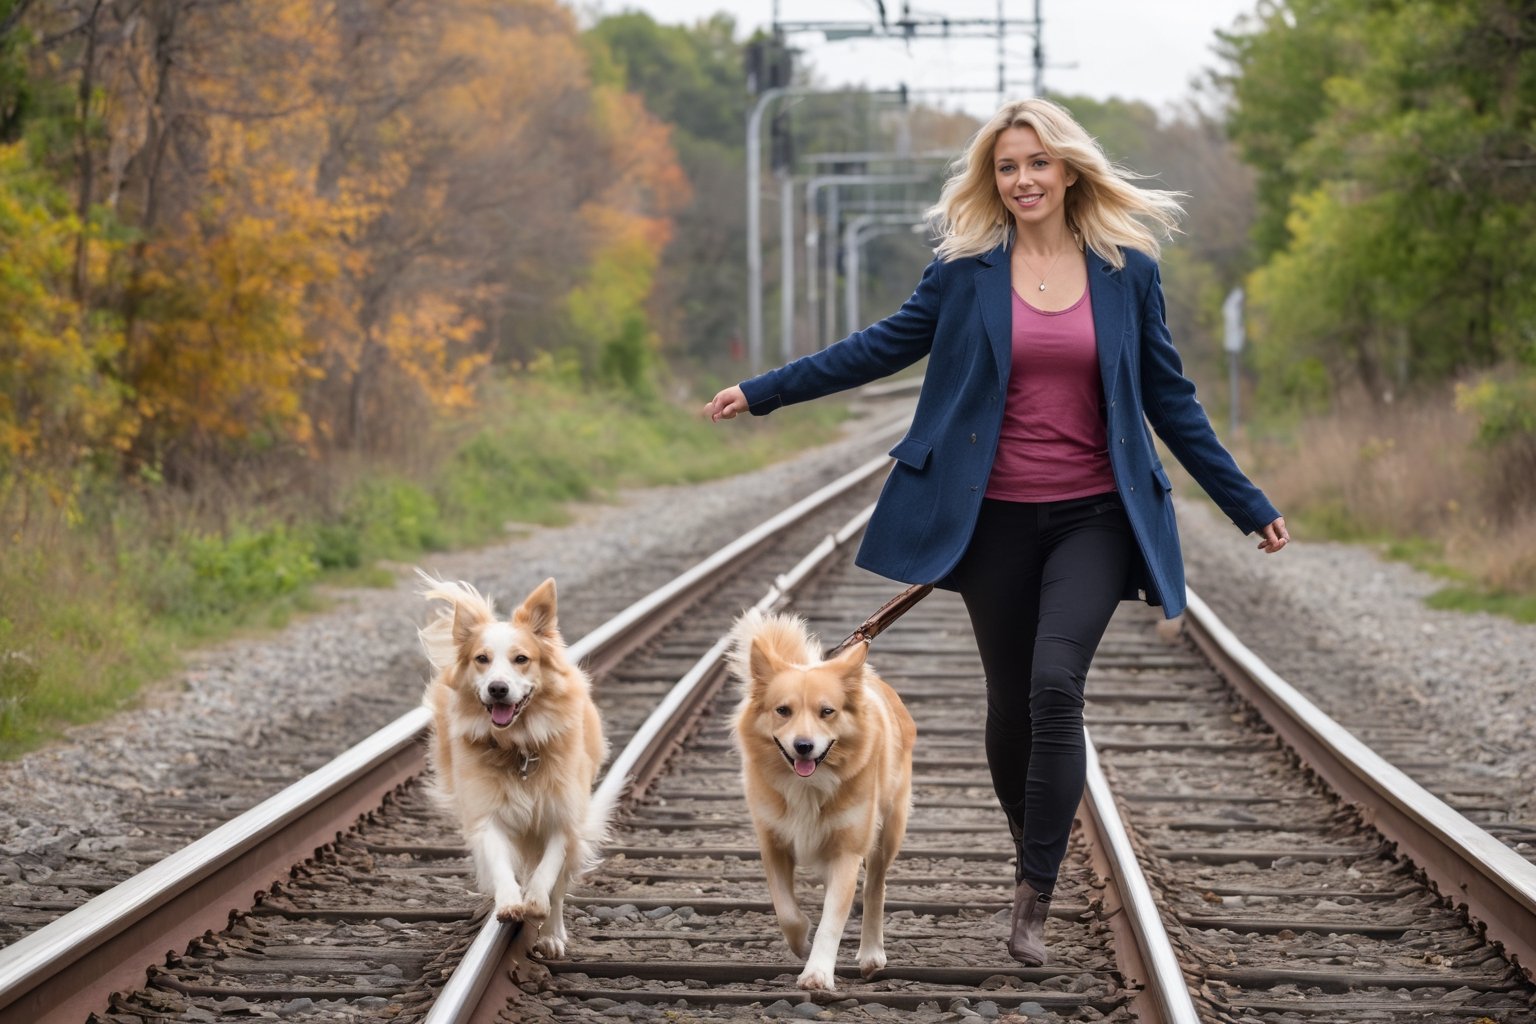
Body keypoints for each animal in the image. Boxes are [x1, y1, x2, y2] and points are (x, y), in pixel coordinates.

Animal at [423, 577, 614, 964]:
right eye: (482, 659)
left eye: (521, 659)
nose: (498, 688)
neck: (519, 747)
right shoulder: (486, 815)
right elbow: (500, 863)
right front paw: (511, 903)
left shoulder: (563, 816)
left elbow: (548, 872)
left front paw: (536, 903)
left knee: (560, 886)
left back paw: (552, 935)